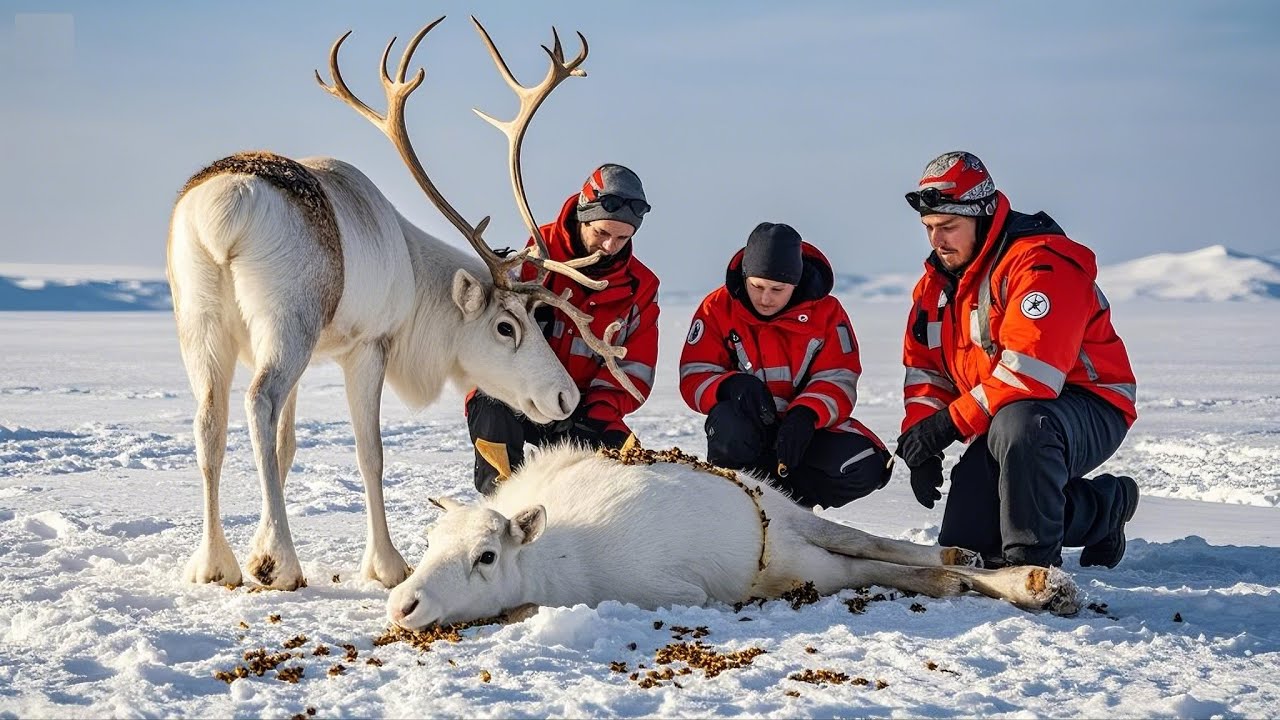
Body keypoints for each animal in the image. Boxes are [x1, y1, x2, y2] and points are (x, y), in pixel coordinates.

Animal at [167, 16, 644, 591]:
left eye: (538, 319)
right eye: (506, 326)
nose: (565, 397)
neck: (416, 280)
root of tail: (224, 208)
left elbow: (285, 447)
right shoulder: (369, 345)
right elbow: (369, 452)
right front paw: (387, 563)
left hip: (202, 322)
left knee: (209, 422)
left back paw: (214, 562)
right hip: (289, 321)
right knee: (257, 401)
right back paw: (278, 561)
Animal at [386, 443, 1081, 629]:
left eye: (486, 555)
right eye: (429, 543)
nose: (403, 604)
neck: (554, 562)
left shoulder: (675, 591)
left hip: (798, 548)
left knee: (866, 550)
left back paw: (1034, 582)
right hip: (798, 541)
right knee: (894, 558)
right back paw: (972, 563)